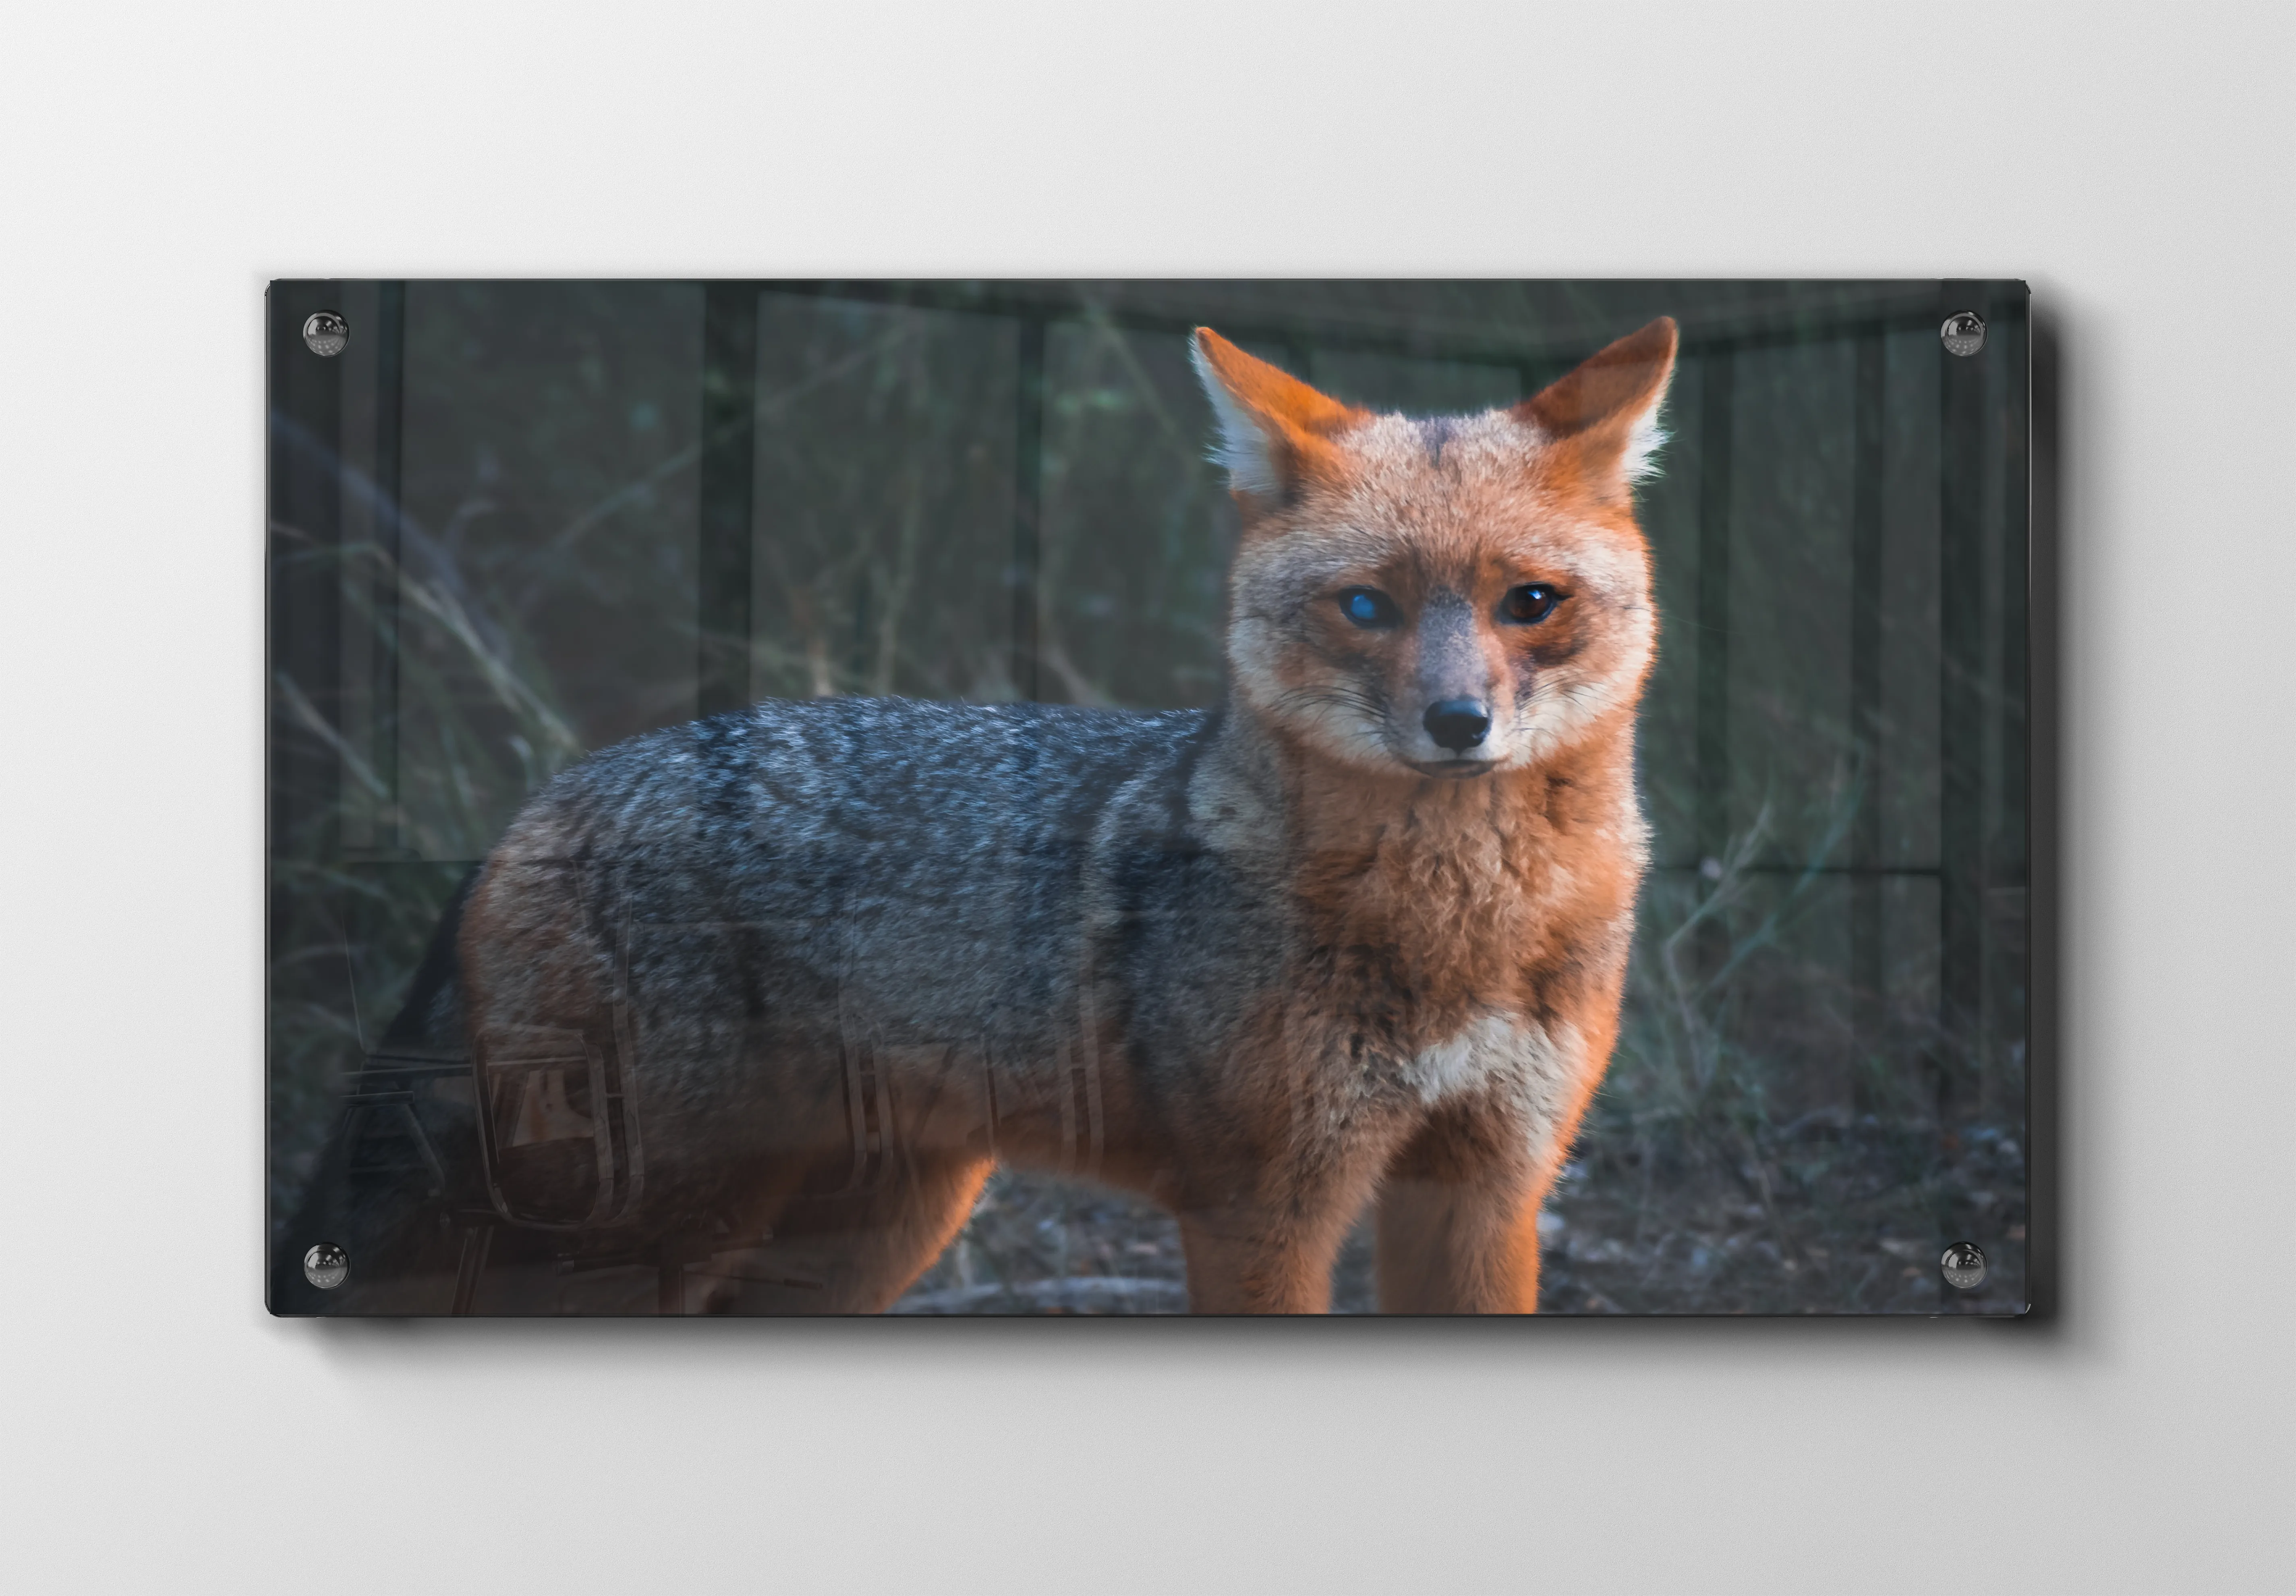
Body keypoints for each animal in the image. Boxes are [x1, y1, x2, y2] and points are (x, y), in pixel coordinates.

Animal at [284, 316, 1677, 1315]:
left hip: (868, 1237)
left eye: (1529, 602)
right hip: (657, 1230)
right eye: (1367, 608)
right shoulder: (1262, 1209)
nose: (1457, 723)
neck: (1461, 930)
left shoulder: (1487, 1190)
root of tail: (555, 788)